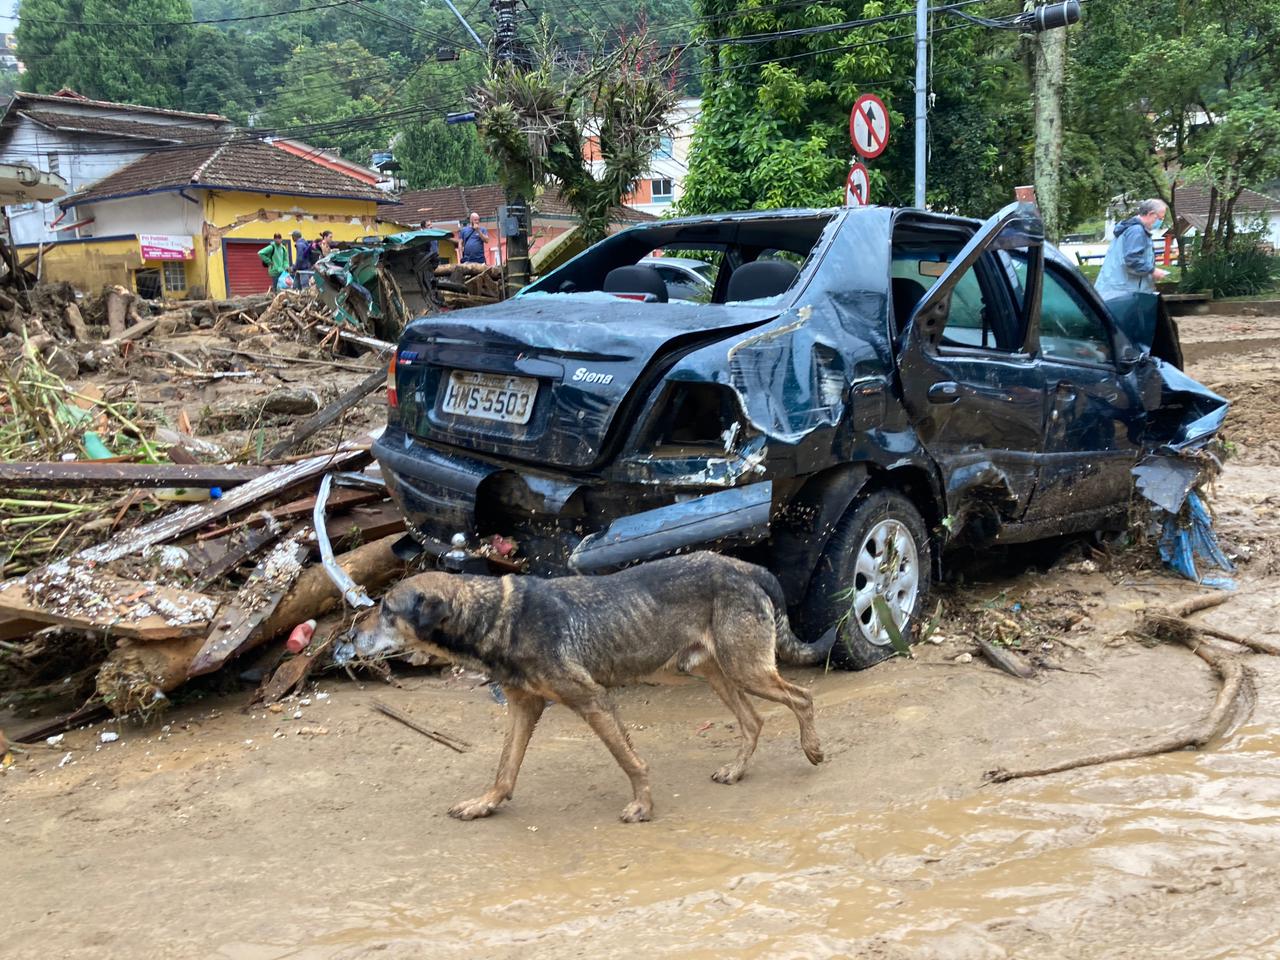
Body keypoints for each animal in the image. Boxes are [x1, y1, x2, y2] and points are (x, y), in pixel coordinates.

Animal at [355, 552, 824, 824]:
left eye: (387, 610)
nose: (349, 636)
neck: (495, 615)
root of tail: (747, 567)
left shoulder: (593, 700)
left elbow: (631, 762)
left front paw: (644, 806)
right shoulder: (524, 707)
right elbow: (505, 768)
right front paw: (485, 803)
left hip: (745, 669)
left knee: (802, 697)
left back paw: (813, 750)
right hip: (712, 670)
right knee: (754, 720)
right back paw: (736, 770)